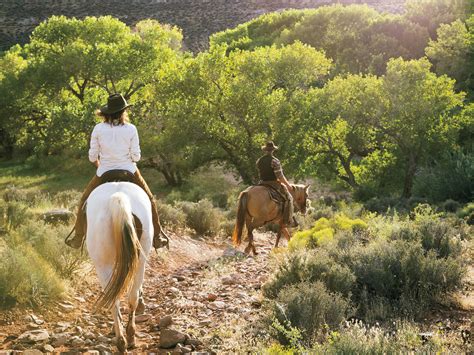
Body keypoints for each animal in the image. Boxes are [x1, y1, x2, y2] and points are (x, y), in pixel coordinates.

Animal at [85, 184, 152, 354]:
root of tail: (118, 198)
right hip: (139, 262)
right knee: (130, 297)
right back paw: (128, 338)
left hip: (104, 265)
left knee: (116, 299)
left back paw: (122, 340)